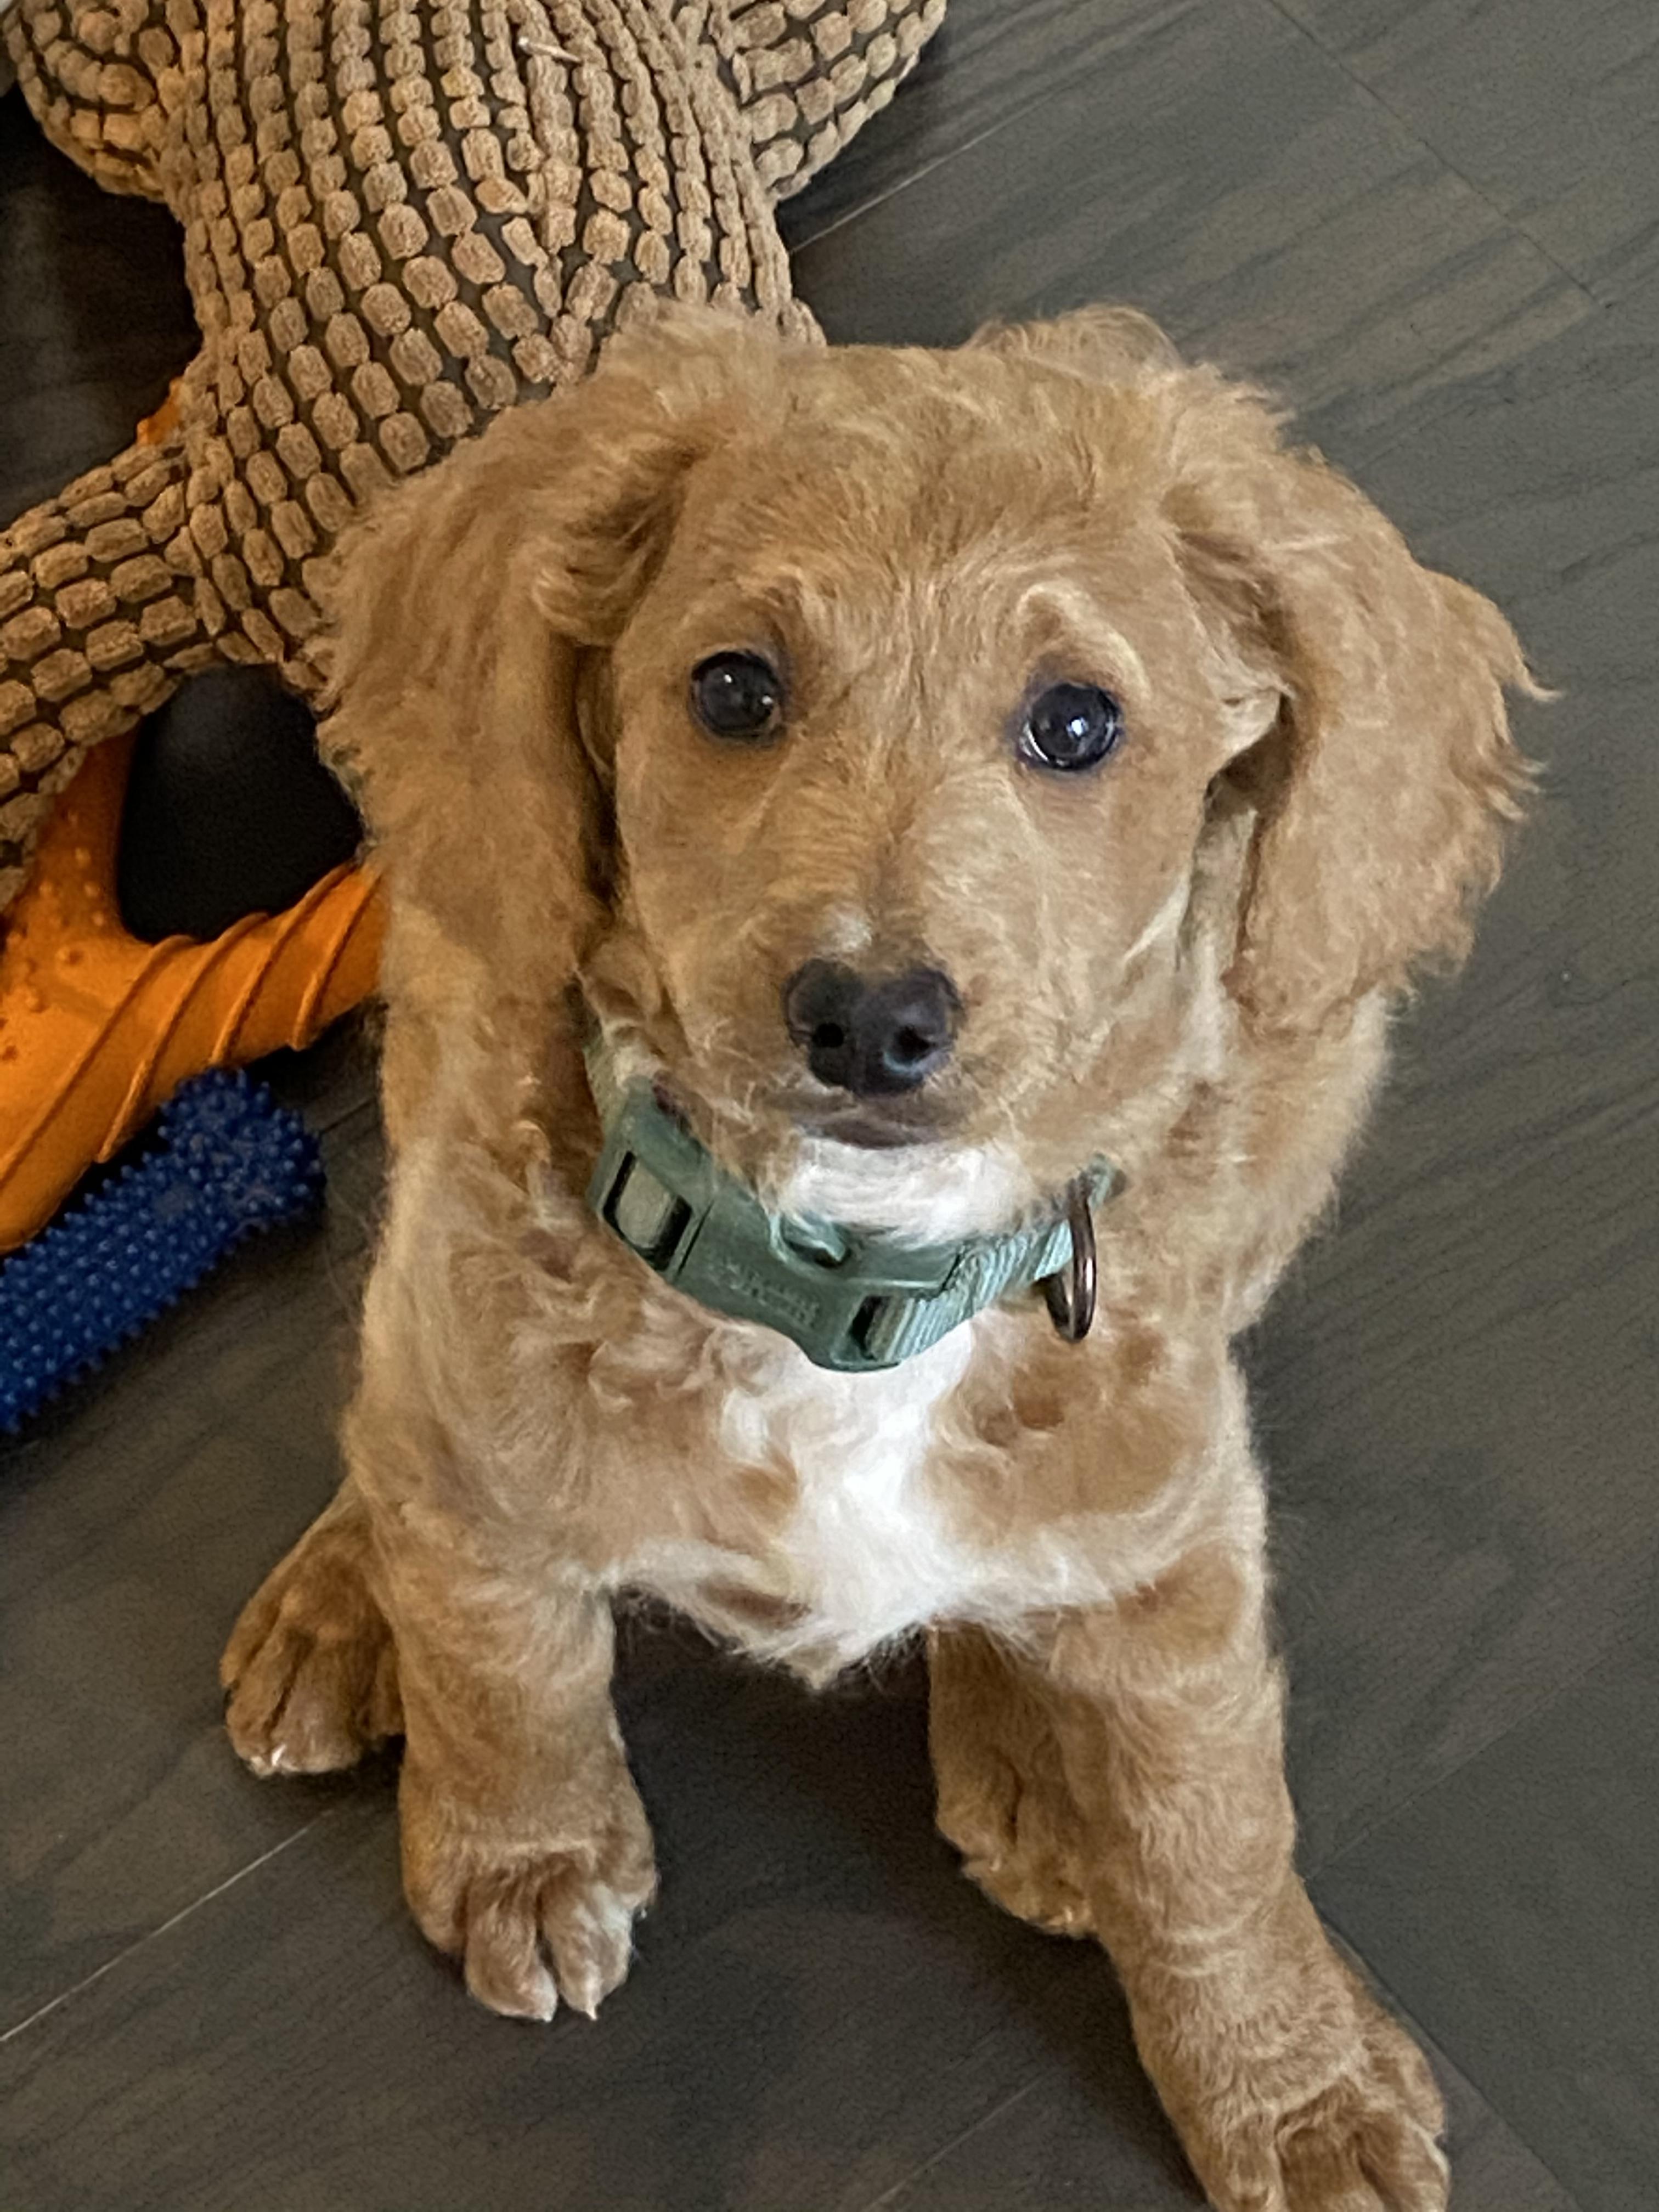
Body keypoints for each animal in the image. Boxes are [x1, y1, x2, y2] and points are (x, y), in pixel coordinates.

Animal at [222, 305, 1533, 2212]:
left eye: (1078, 722)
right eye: (733, 692)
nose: (868, 1017)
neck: (851, 1289)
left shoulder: (1181, 1543)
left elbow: (1214, 1830)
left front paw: (1292, 2087)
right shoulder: (480, 1354)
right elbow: (499, 1638)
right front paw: (522, 1845)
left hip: (1314, 1053)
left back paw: (1033, 1764)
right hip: (453, 975)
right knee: (392, 1412)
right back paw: (342, 1594)